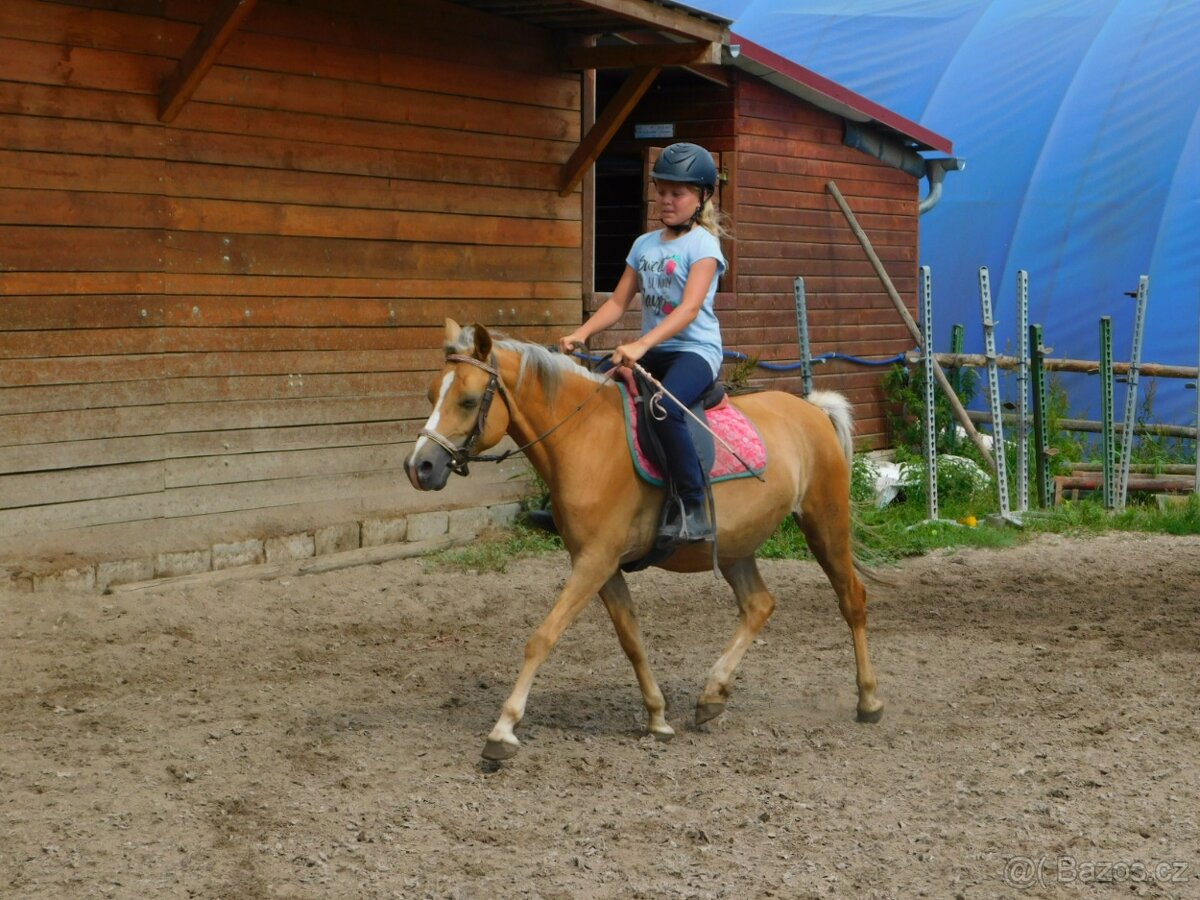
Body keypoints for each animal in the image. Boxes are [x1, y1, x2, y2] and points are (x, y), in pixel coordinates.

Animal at [404, 319, 883, 761]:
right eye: (429, 395)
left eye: (468, 400)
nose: (419, 467)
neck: (584, 438)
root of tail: (812, 410)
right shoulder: (603, 565)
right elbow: (632, 640)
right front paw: (657, 717)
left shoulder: (595, 562)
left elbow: (543, 636)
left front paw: (503, 730)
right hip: (736, 544)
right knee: (758, 605)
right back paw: (712, 694)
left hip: (824, 523)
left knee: (852, 600)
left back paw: (869, 701)